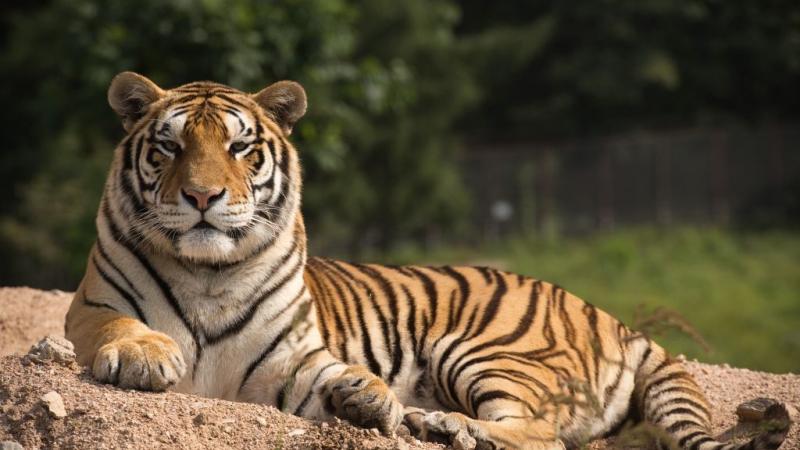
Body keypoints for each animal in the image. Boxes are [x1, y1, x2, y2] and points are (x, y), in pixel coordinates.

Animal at [65, 71, 791, 450]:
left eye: (241, 149)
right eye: (170, 146)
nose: (203, 196)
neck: (210, 274)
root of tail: (610, 317)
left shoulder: (292, 359)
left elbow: (330, 376)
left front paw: (365, 397)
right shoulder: (93, 306)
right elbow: (118, 326)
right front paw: (145, 356)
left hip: (487, 350)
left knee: (543, 433)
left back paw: (442, 423)